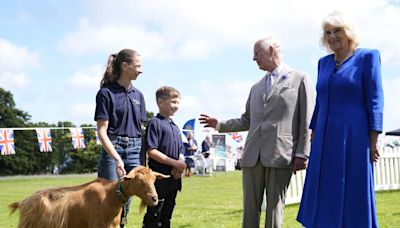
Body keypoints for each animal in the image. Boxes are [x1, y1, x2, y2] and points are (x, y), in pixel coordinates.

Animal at [9, 166, 169, 228]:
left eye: (154, 180)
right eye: (140, 180)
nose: (154, 198)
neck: (110, 196)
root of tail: (23, 202)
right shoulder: (96, 225)